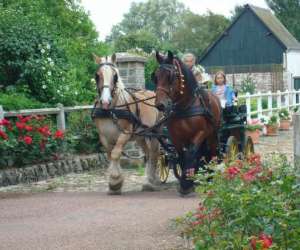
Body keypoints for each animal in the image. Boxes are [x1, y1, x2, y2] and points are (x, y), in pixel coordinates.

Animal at [93, 53, 161, 194]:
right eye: (97, 75)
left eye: (115, 76)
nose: (105, 101)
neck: (111, 111)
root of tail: (151, 92)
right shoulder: (104, 137)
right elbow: (111, 155)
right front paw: (114, 184)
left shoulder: (125, 134)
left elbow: (115, 153)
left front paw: (115, 181)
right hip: (140, 136)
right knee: (148, 154)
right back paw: (148, 180)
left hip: (155, 133)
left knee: (154, 154)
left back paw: (152, 180)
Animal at [154, 51, 221, 195]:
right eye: (155, 76)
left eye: (171, 76)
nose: (160, 105)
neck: (185, 106)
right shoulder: (176, 138)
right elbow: (182, 156)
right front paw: (187, 182)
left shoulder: (200, 133)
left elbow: (191, 153)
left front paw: (186, 183)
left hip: (212, 134)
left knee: (212, 153)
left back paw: (210, 176)